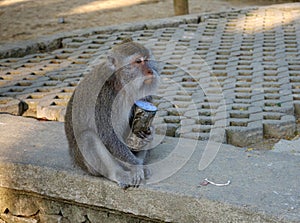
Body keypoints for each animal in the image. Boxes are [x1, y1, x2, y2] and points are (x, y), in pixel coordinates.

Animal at [64, 39, 161, 189]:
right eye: (138, 61)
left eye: (147, 60)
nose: (150, 71)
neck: (121, 84)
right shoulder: (103, 96)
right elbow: (108, 135)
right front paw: (135, 166)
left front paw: (147, 133)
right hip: (87, 165)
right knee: (88, 137)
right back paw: (119, 173)